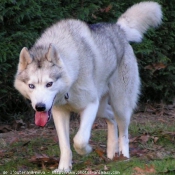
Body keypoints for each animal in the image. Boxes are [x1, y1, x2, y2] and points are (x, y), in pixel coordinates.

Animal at [14, 1, 162, 172]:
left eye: (49, 84)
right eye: (31, 85)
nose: (40, 107)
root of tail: (118, 29)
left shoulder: (90, 105)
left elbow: (79, 140)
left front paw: (87, 150)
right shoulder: (59, 112)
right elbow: (64, 146)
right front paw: (64, 168)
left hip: (120, 105)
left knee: (124, 132)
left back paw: (124, 157)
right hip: (102, 109)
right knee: (111, 118)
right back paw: (111, 152)